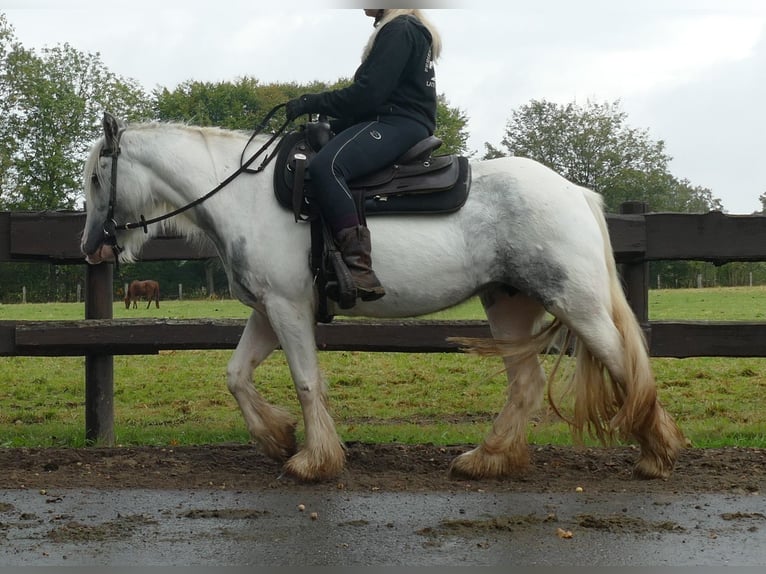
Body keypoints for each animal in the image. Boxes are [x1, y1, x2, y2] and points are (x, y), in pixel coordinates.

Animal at [81, 112, 688, 482]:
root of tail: (574, 192)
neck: (245, 195)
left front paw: (313, 460)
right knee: (527, 384)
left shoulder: (288, 309)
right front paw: (276, 437)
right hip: (509, 304)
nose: (91, 248)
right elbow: (236, 376)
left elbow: (306, 380)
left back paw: (656, 455)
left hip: (576, 302)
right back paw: (485, 459)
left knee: (625, 363)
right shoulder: (269, 311)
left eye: (94, 178)